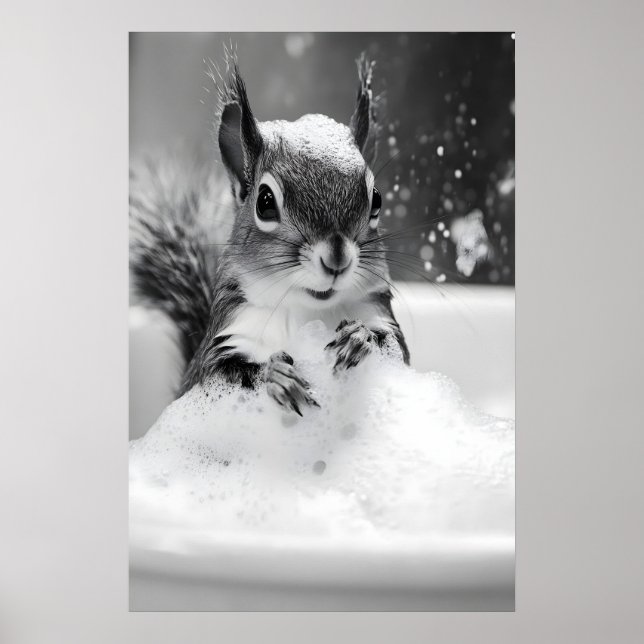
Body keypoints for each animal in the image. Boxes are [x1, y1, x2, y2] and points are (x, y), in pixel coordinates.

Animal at [130, 53, 410, 416]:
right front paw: (276, 376)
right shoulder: (222, 347)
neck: (306, 312)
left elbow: (393, 348)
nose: (336, 259)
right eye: (264, 202)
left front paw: (357, 338)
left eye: (377, 199)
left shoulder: (383, 321)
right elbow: (224, 373)